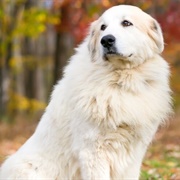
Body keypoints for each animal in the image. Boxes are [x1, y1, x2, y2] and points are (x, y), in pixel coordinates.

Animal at [0, 4, 172, 179]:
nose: (106, 40)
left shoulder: (134, 153)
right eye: (103, 27)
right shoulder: (93, 150)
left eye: (126, 23)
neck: (120, 80)